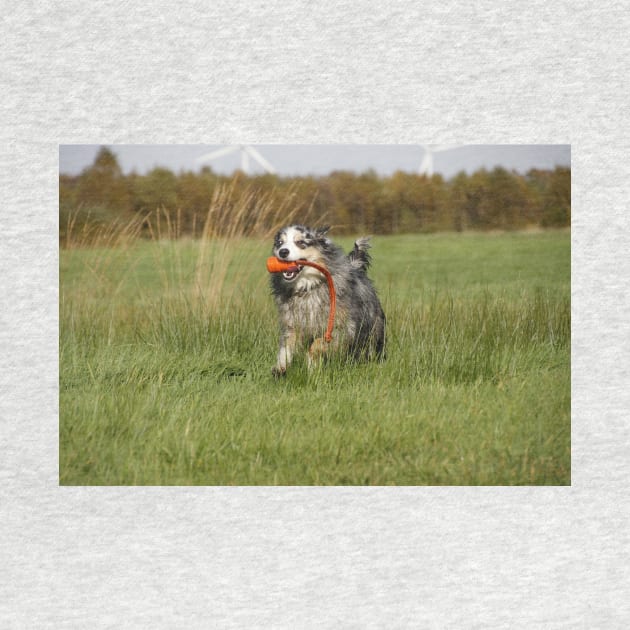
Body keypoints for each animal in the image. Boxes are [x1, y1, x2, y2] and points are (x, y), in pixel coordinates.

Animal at [268, 226, 386, 378]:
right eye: (280, 243)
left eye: (300, 242)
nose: (282, 252)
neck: (309, 287)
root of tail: (357, 267)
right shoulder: (293, 323)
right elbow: (287, 345)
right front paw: (280, 367)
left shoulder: (341, 327)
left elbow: (317, 345)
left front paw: (310, 365)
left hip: (373, 328)